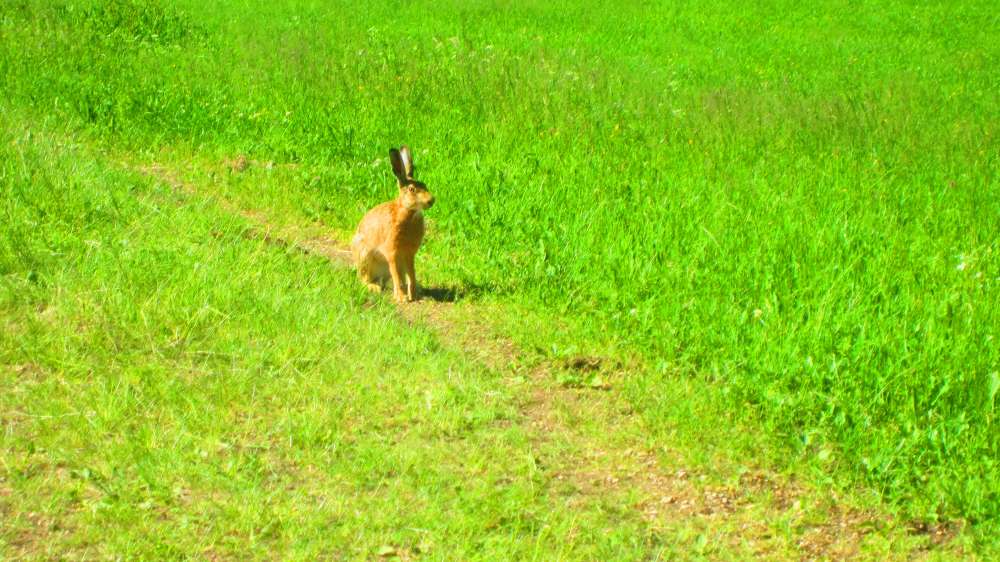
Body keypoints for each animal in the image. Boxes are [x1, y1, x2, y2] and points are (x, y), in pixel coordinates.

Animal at [351, 146, 435, 303]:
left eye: (425, 185)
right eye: (412, 189)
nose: (431, 200)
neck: (408, 212)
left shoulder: (409, 254)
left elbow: (411, 274)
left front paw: (413, 295)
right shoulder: (391, 251)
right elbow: (396, 273)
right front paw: (402, 298)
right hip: (364, 255)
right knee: (365, 278)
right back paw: (374, 287)